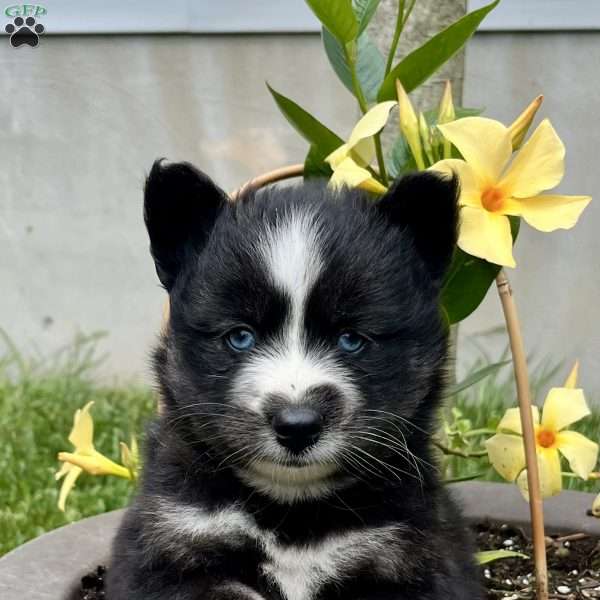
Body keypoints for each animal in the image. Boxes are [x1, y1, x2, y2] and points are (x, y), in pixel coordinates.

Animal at [106, 161, 482, 600]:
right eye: (240, 336)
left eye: (351, 339)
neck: (292, 509)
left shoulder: (406, 551)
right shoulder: (173, 543)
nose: (297, 426)